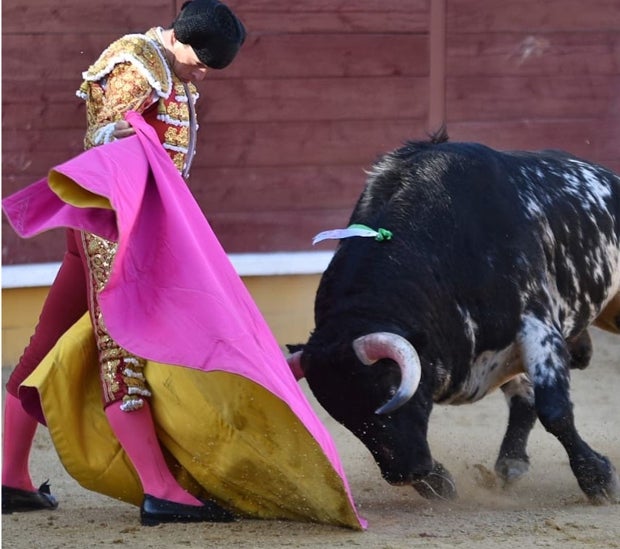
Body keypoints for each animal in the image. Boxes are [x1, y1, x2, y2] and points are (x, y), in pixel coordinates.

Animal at [290, 135, 620, 504]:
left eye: (389, 389)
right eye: (342, 415)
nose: (407, 473)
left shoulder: (538, 326)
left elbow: (555, 410)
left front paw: (598, 479)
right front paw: (439, 482)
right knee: (523, 396)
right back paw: (510, 462)